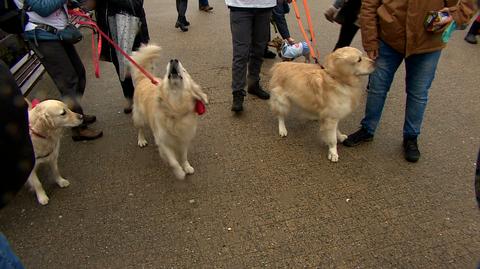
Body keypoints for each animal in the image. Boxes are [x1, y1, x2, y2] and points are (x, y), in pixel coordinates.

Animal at [130, 44, 207, 179]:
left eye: (185, 71)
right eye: (166, 74)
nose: (174, 60)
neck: (175, 109)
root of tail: (144, 78)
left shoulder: (183, 139)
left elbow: (183, 156)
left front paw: (187, 167)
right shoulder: (164, 143)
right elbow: (173, 161)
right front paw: (180, 172)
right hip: (139, 116)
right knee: (140, 128)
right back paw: (141, 140)